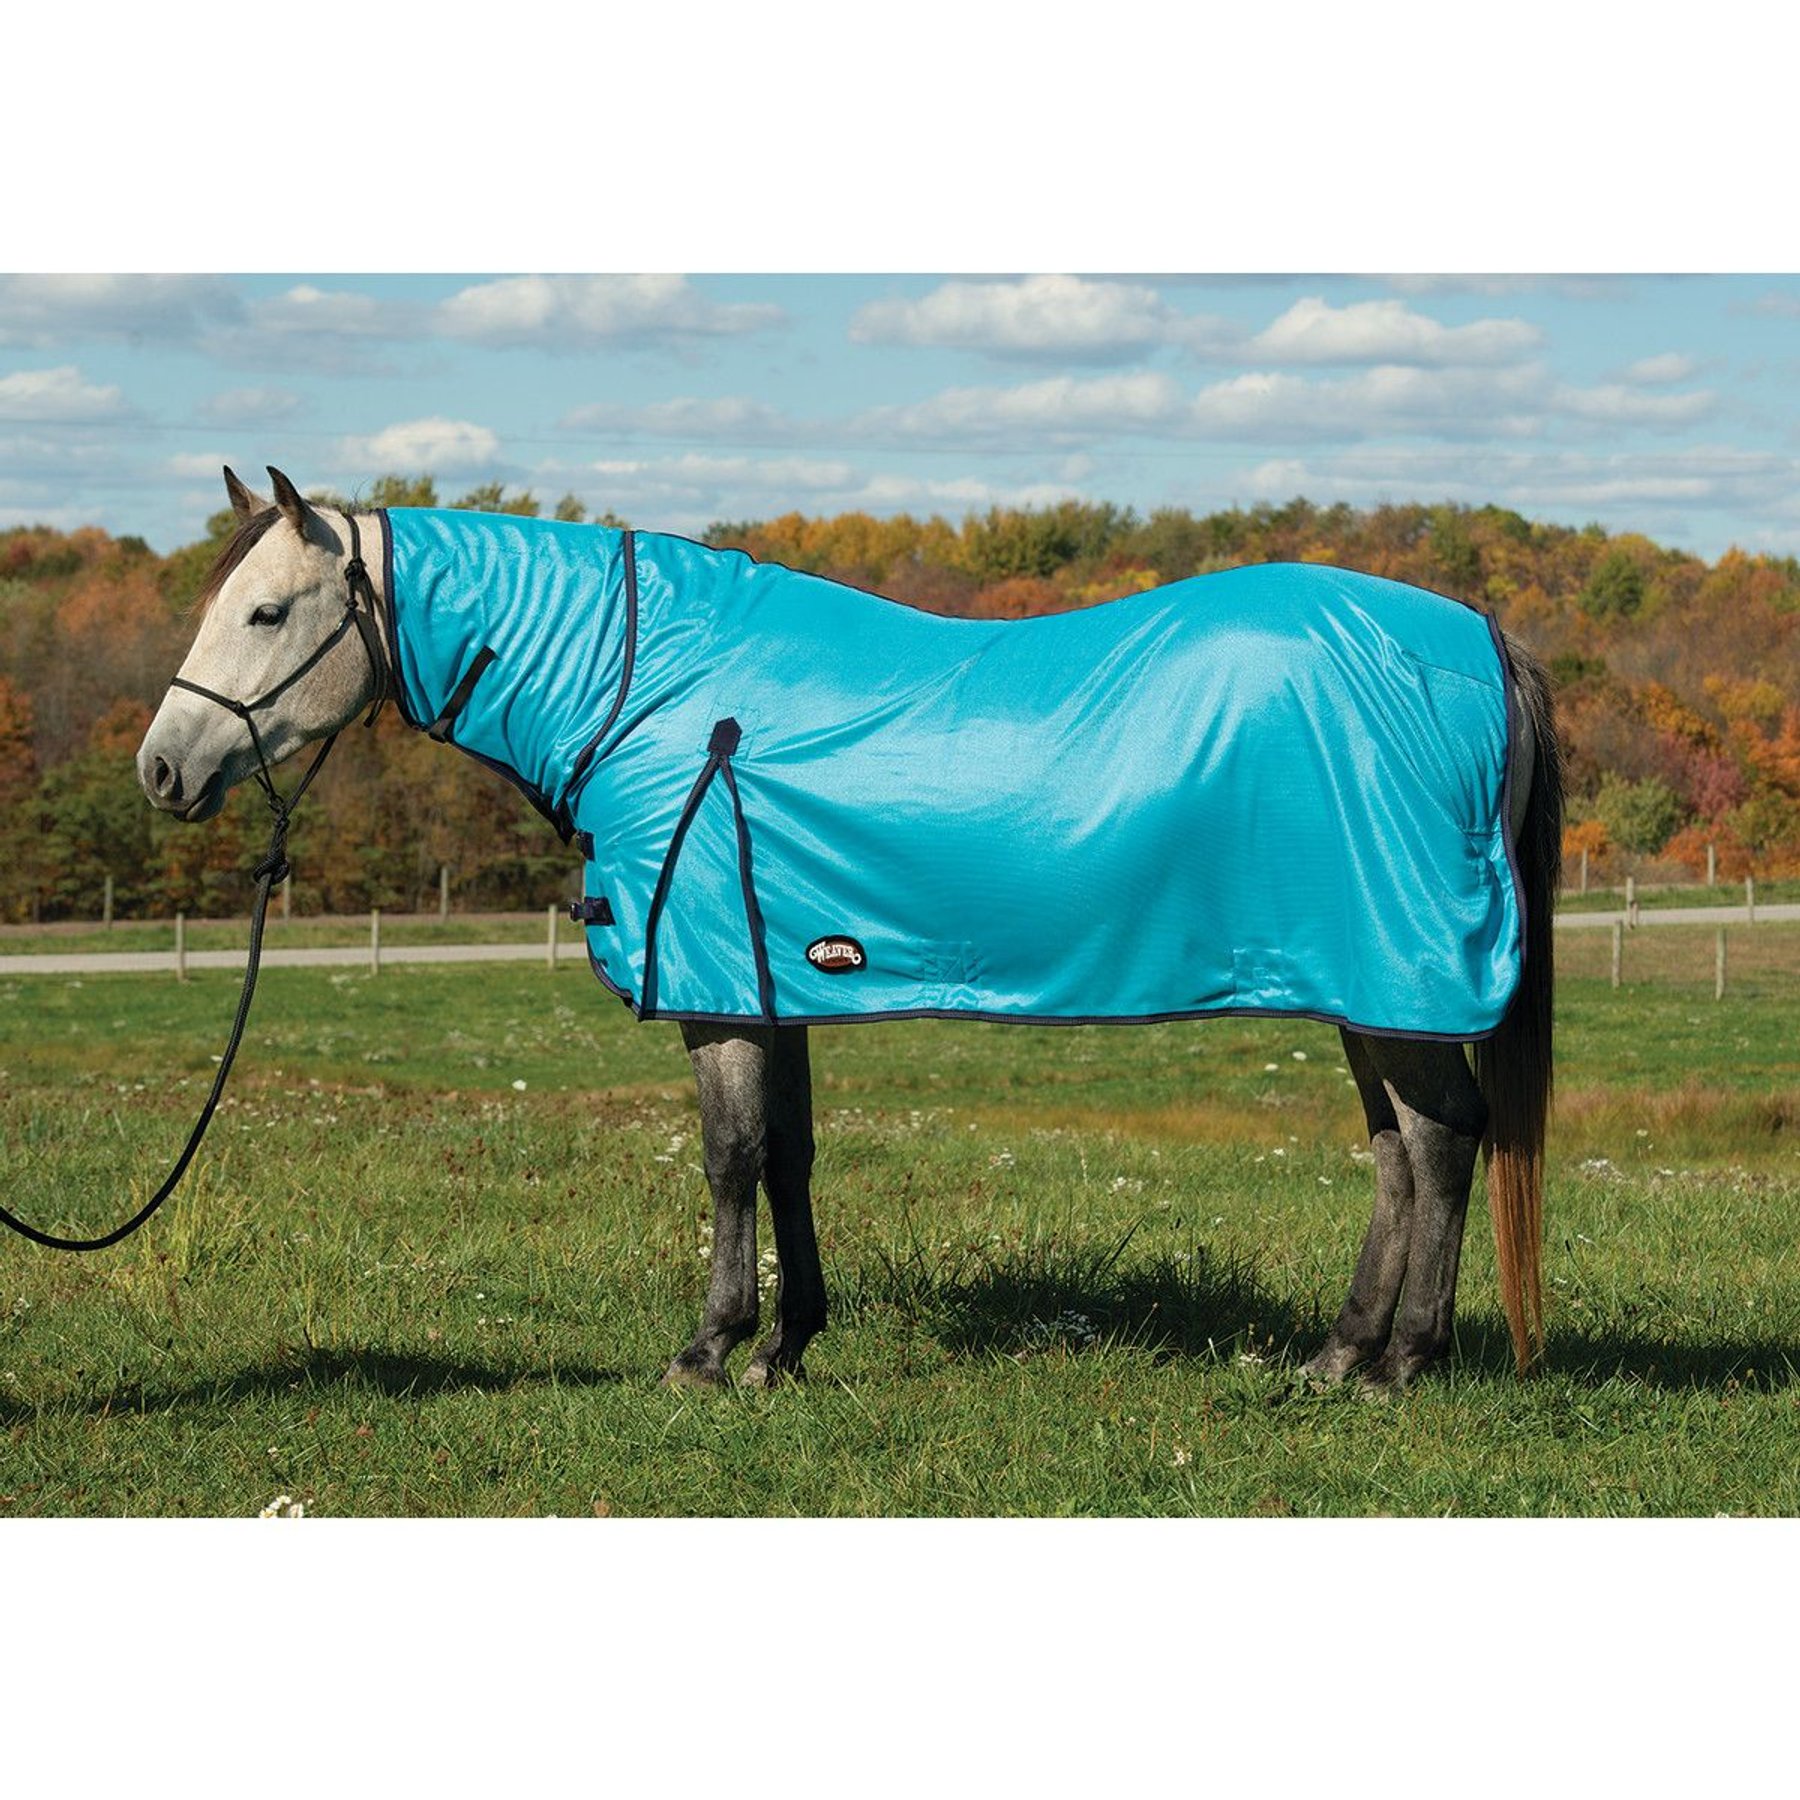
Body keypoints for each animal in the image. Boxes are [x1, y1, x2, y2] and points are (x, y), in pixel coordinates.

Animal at [138, 466, 1562, 1389]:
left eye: (267, 611)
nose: (161, 769)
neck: (646, 684)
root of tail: (1481, 644)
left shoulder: (714, 985)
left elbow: (727, 1161)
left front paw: (711, 1351)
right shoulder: (773, 977)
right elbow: (790, 1158)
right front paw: (787, 1342)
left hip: (1396, 977)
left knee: (1442, 1143)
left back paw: (1404, 1362)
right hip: (1368, 984)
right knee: (1402, 1152)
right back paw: (1340, 1355)